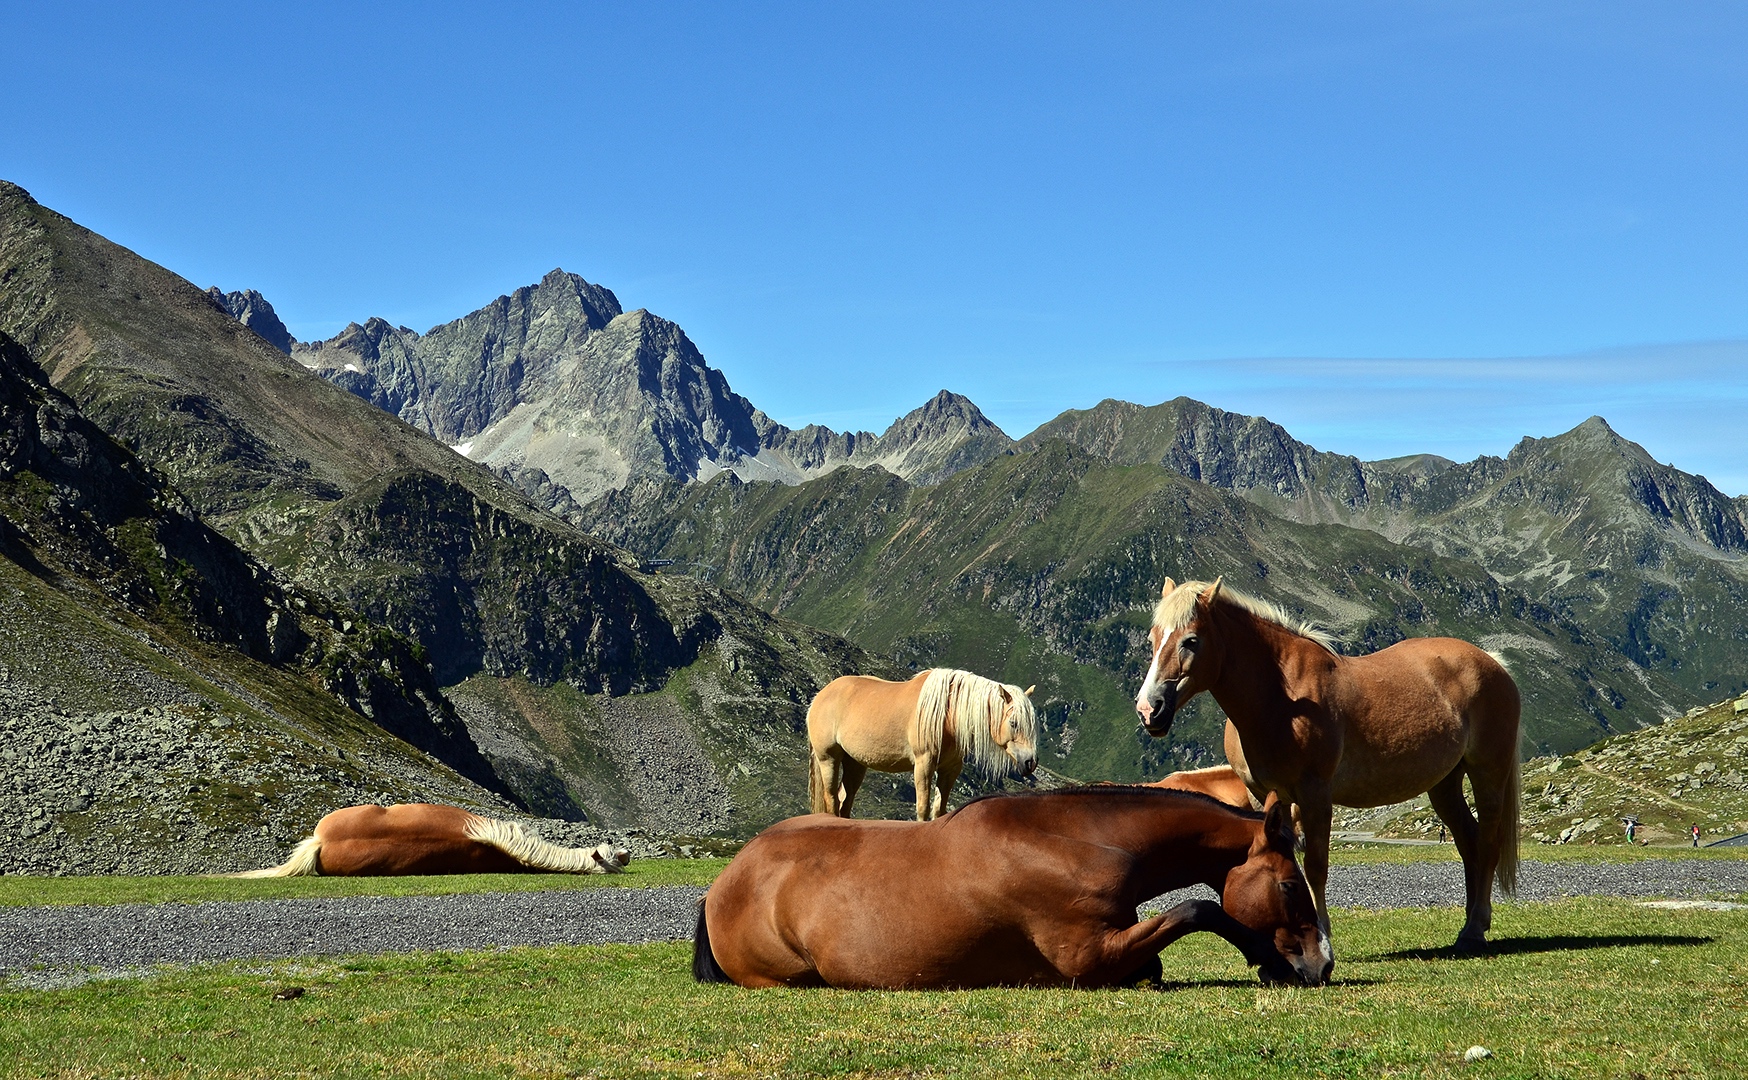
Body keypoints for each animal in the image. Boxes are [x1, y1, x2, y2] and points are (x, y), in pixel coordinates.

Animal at [688, 782, 1328, 985]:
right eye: (1290, 887)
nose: (1323, 965)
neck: (1073, 842)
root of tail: (721, 884)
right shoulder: (1088, 959)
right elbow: (1199, 910)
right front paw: (1267, 959)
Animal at [807, 664, 1034, 814]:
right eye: (1014, 723)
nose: (1030, 762)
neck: (946, 714)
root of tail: (820, 696)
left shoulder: (950, 769)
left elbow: (939, 809)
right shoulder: (924, 763)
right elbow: (923, 808)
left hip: (855, 763)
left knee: (845, 800)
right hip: (829, 758)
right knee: (832, 799)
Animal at [1132, 573, 1517, 943]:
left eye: (1190, 641)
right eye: (1153, 638)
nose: (1149, 709)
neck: (1280, 699)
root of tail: (1493, 662)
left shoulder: (1314, 794)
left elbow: (1316, 866)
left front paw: (1322, 935)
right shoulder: (1266, 796)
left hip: (1487, 772)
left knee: (1487, 841)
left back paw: (1476, 926)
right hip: (1445, 784)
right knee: (1468, 842)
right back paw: (1470, 927)